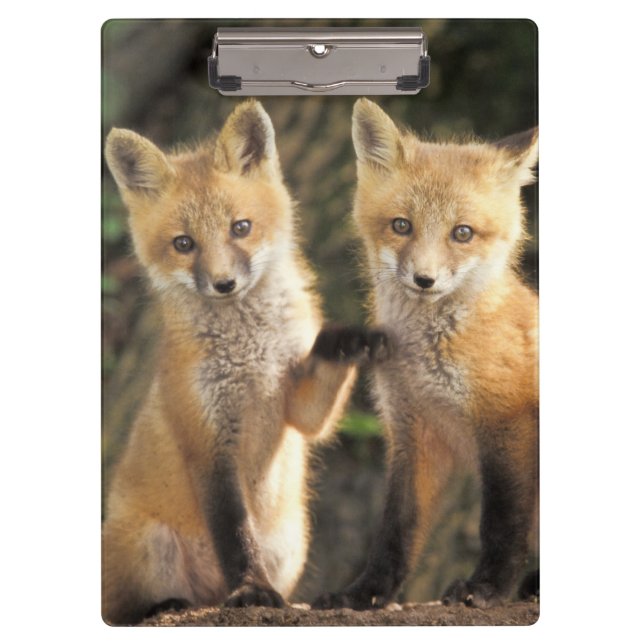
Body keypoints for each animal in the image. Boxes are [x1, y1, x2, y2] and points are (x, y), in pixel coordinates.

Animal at [102, 100, 386, 624]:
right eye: (184, 244)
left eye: (241, 228)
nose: (223, 284)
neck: (249, 355)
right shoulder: (208, 443)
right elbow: (235, 536)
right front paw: (252, 590)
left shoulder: (298, 407)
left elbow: (319, 386)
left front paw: (350, 339)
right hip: (150, 546)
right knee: (127, 607)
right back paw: (170, 604)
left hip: (291, 544)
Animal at [314, 98, 539, 610]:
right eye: (402, 225)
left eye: (463, 233)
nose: (424, 279)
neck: (425, 361)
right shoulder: (413, 431)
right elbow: (397, 528)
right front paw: (366, 593)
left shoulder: (506, 422)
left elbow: (502, 523)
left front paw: (488, 587)